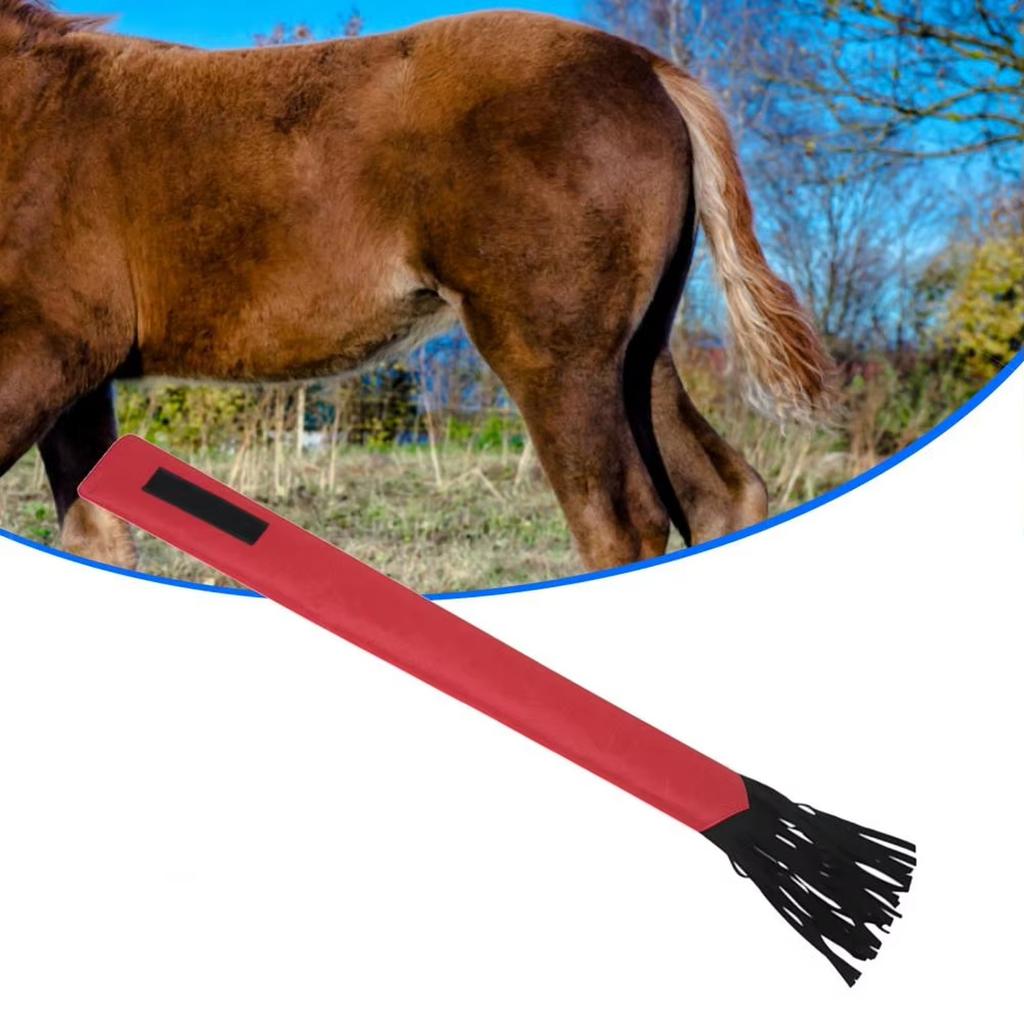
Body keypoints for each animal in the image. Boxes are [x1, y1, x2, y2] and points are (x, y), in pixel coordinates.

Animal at [0, 2, 834, 574]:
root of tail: (650, 67)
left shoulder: (47, 347)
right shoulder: (80, 376)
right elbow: (97, 535)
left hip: (552, 351)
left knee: (621, 523)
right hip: (634, 348)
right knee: (721, 492)